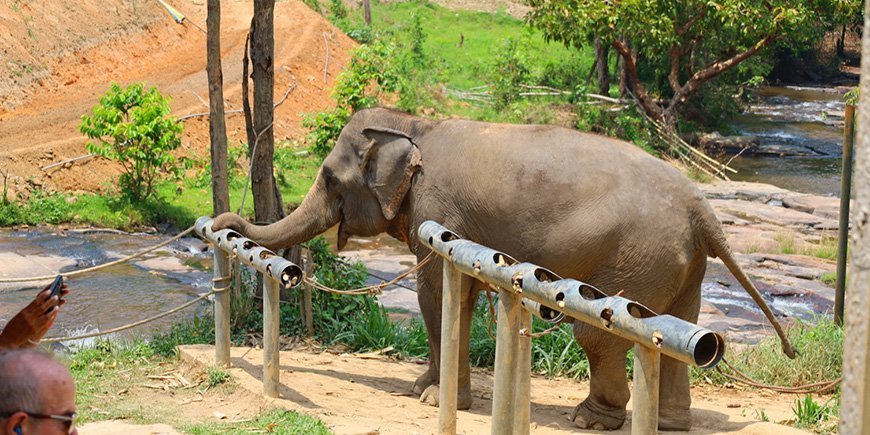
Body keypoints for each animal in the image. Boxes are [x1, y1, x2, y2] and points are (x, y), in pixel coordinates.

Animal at [212, 107, 794, 431]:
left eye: (331, 179)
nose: (222, 222)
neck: (415, 123)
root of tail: (703, 208)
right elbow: (461, 292)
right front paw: (420, 389)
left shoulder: (438, 210)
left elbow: (436, 292)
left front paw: (432, 398)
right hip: (682, 264)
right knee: (678, 330)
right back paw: (671, 425)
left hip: (638, 259)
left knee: (600, 333)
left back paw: (589, 419)